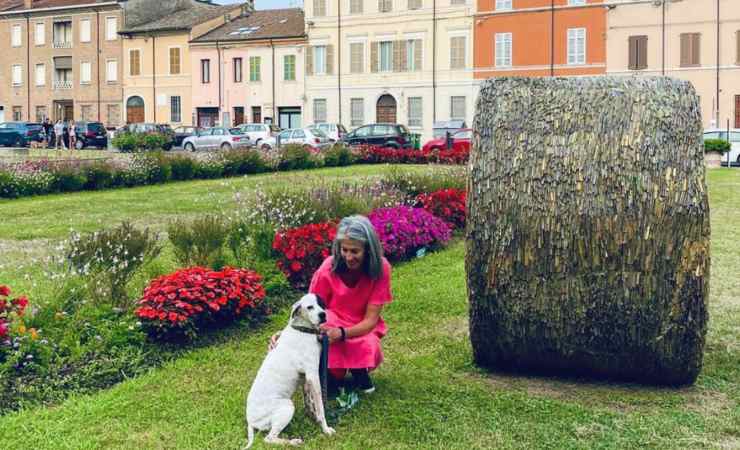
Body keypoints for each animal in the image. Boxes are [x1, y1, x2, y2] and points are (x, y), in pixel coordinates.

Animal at [244, 292, 336, 446]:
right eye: (309, 307)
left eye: (321, 304)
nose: (323, 315)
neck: (303, 330)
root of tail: (250, 421)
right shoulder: (313, 375)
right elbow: (320, 408)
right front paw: (325, 429)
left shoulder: (306, 378)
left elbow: (310, 402)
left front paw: (312, 417)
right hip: (287, 406)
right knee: (269, 438)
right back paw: (293, 441)